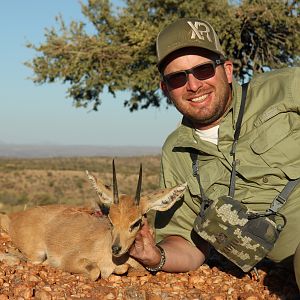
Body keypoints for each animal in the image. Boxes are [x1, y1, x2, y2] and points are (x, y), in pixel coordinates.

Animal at [1, 161, 186, 280]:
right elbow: (95, 271)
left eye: (136, 222)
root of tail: (13, 217)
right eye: (110, 220)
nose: (116, 248)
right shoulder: (71, 259)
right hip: (37, 253)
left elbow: (125, 269)